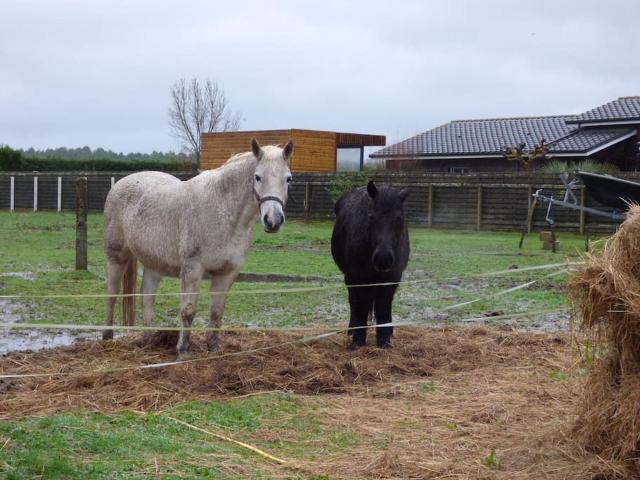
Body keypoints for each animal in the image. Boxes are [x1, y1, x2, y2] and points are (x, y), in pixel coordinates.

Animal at [104, 137, 294, 358]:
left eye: (288, 179)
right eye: (258, 177)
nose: (273, 220)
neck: (223, 212)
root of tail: (120, 184)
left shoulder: (227, 273)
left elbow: (216, 313)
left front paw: (213, 348)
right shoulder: (192, 269)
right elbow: (188, 311)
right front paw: (183, 351)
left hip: (154, 265)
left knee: (147, 298)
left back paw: (149, 340)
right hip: (116, 256)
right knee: (112, 293)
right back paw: (107, 336)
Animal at [330, 181, 410, 348]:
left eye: (399, 218)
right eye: (372, 217)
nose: (383, 259)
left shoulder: (391, 279)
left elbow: (384, 308)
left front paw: (384, 340)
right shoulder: (359, 278)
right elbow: (361, 306)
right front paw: (358, 340)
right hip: (349, 278)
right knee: (353, 302)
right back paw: (352, 330)